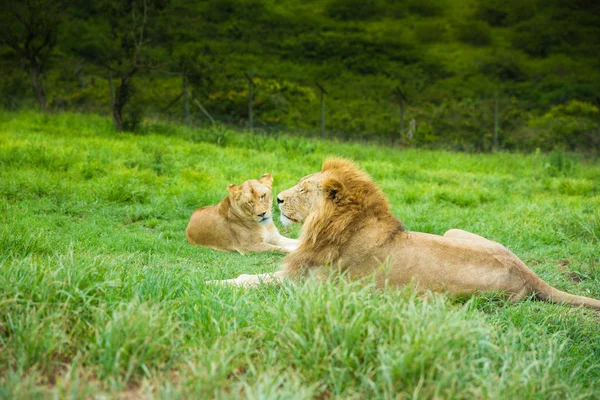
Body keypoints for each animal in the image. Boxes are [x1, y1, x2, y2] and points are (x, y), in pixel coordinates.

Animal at [218, 158, 600, 310]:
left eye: (303, 189)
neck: (331, 226)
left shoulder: (313, 287)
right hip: (454, 230)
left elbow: (253, 280)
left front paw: (214, 284)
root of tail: (526, 272)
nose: (279, 200)